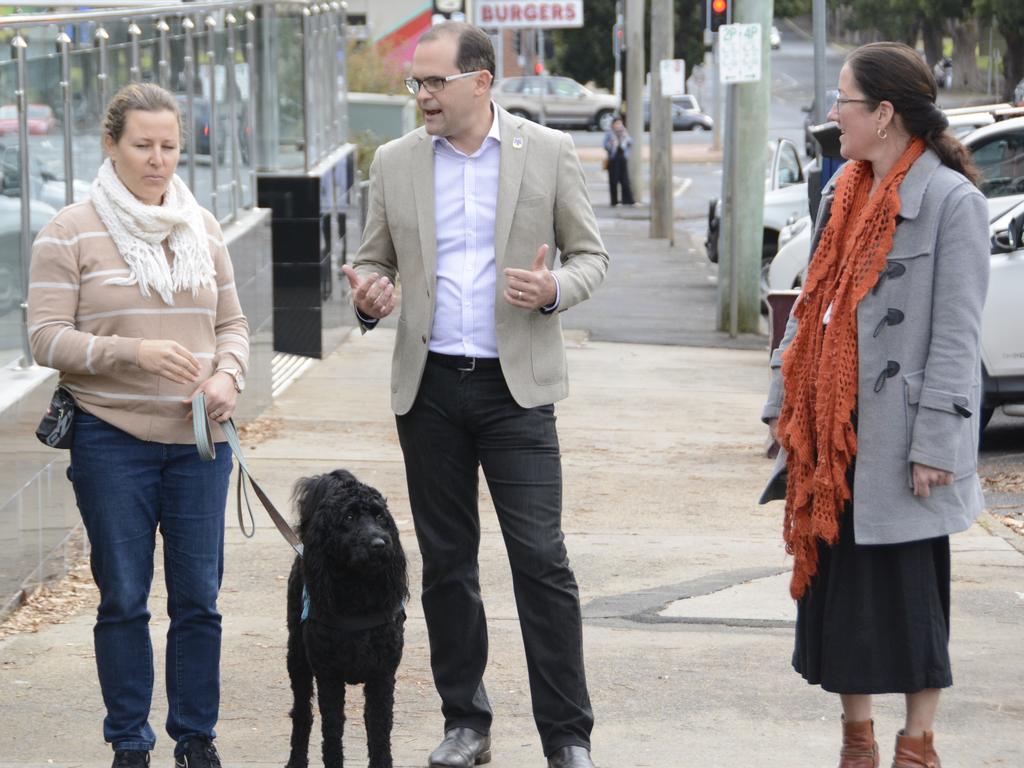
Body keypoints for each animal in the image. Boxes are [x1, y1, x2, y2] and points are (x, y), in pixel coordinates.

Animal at [284, 468, 407, 768]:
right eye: (349, 518)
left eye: (380, 517)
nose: (380, 543)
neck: (358, 596)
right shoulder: (329, 677)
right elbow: (332, 731)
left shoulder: (382, 677)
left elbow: (379, 731)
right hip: (297, 660)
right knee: (302, 714)